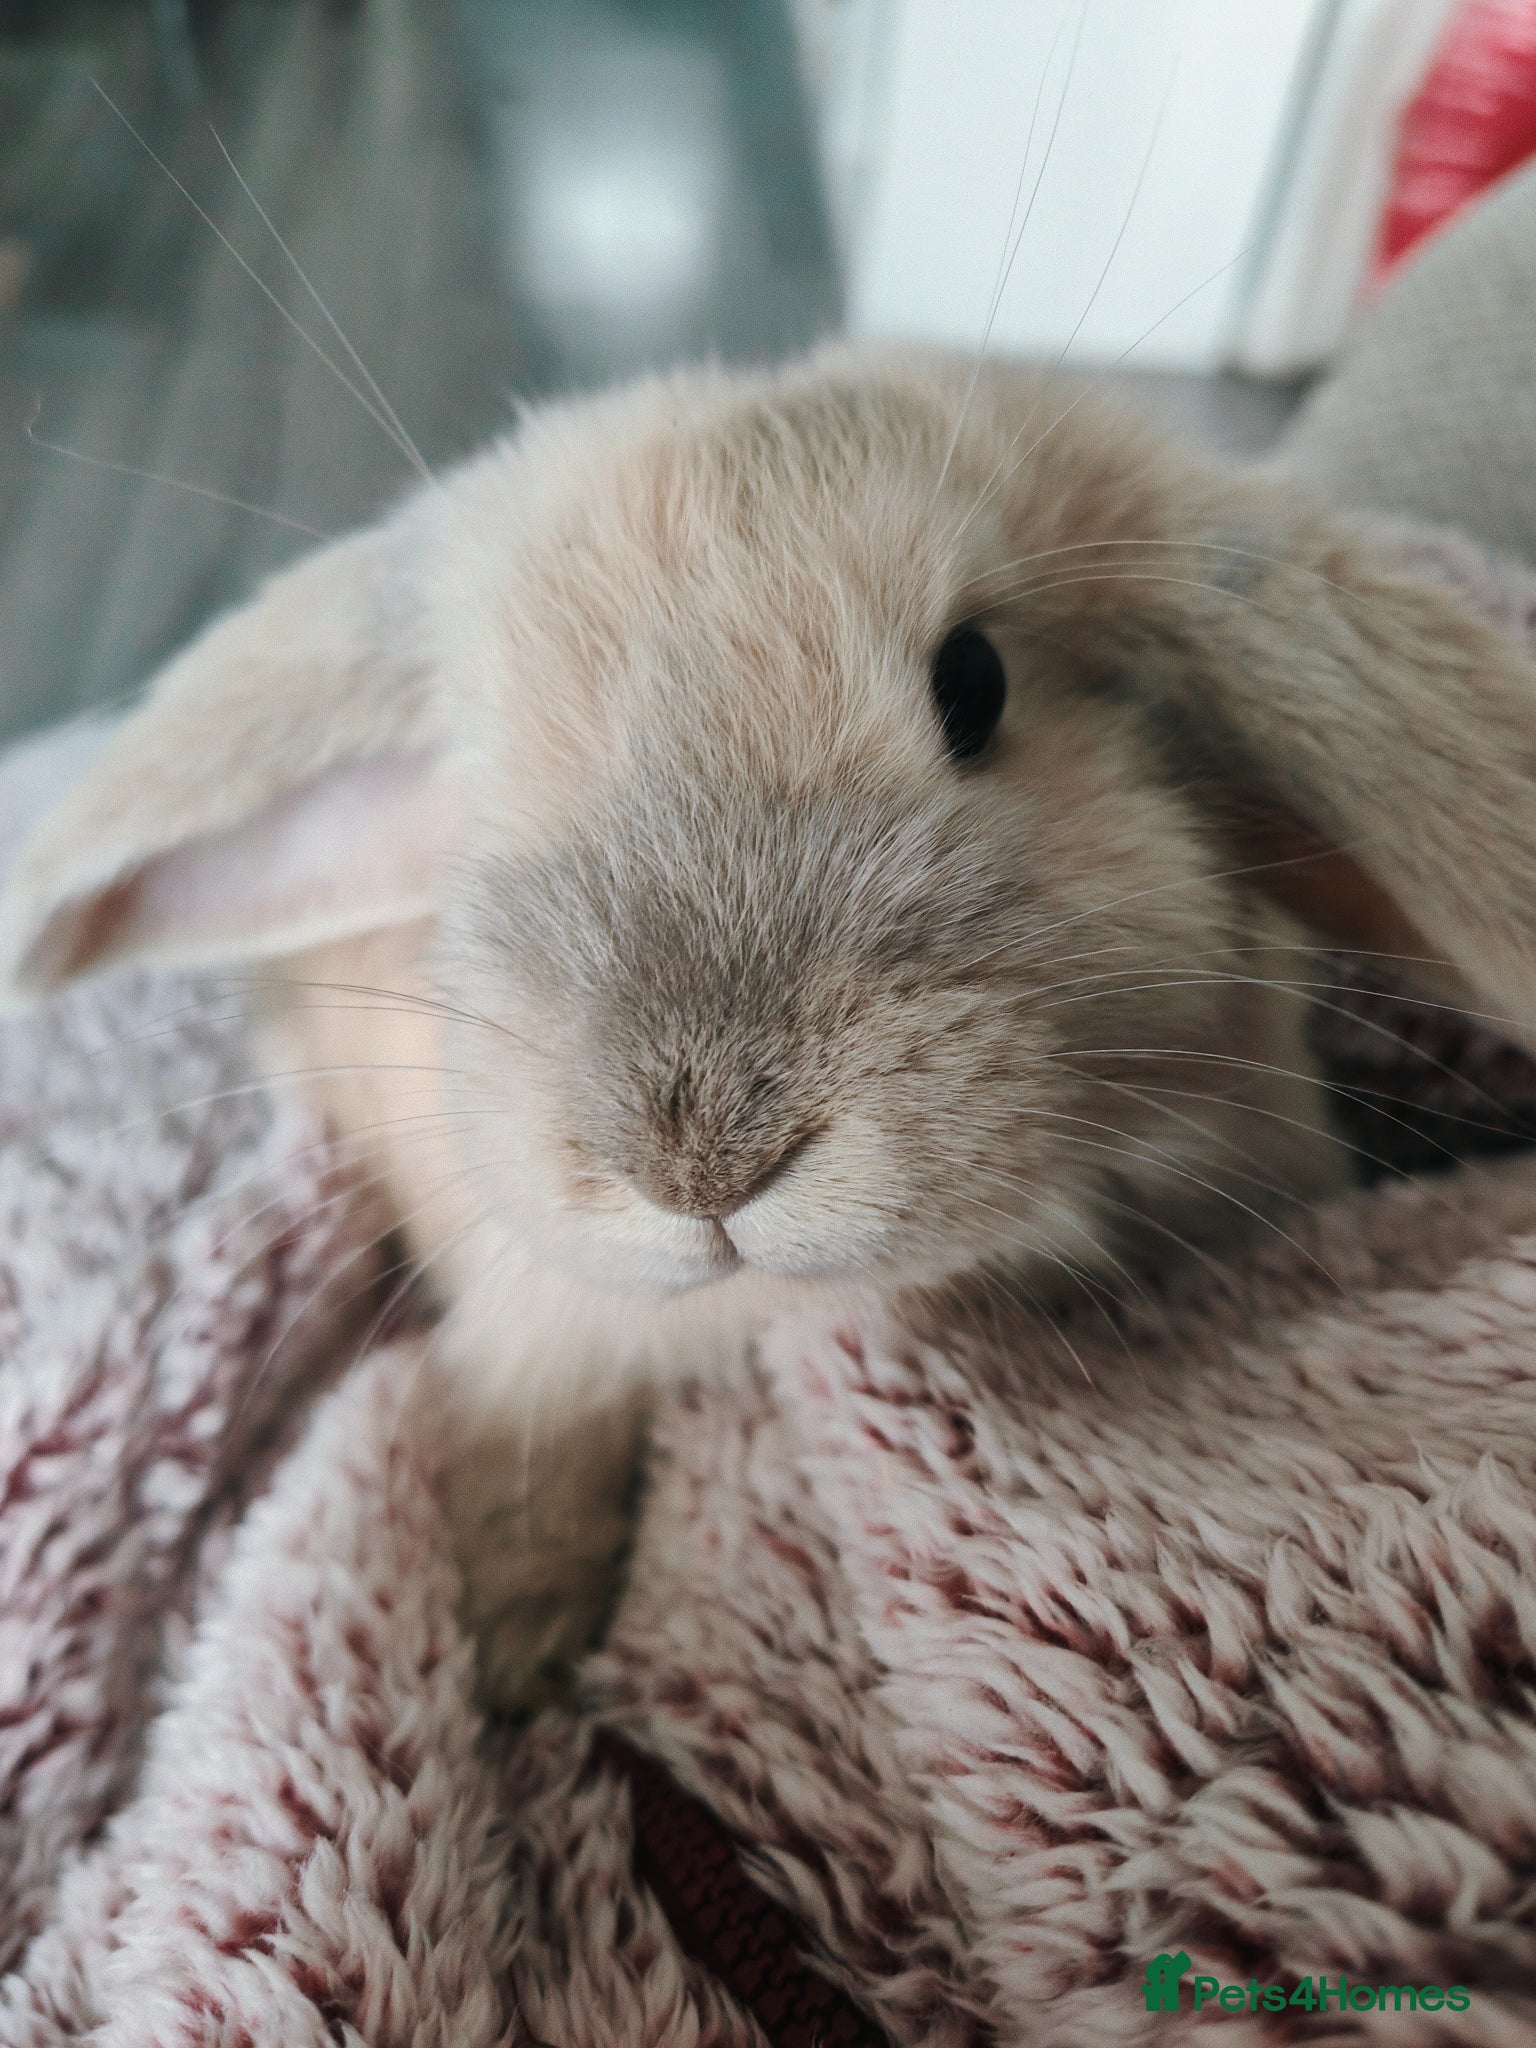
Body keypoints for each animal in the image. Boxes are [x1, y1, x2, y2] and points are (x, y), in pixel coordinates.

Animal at [6, 343, 1536, 1705]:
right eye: (481, 771)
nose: (700, 1162)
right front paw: (513, 1658)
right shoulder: (533, 1326)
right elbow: (523, 1457)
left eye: (975, 683)